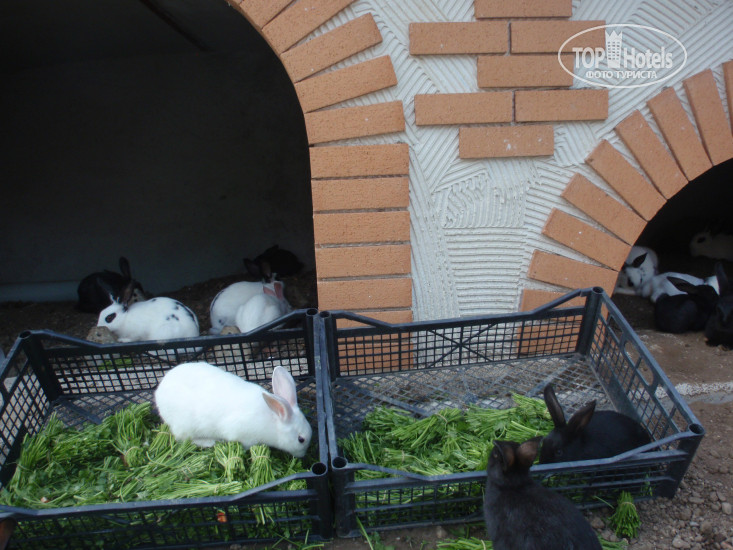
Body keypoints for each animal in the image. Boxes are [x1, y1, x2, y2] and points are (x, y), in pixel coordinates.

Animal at [154, 362, 312, 457]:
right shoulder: (241, 435)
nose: (303, 455)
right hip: (186, 426)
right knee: (183, 438)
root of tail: (159, 393)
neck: (274, 420)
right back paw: (209, 442)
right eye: (301, 439)